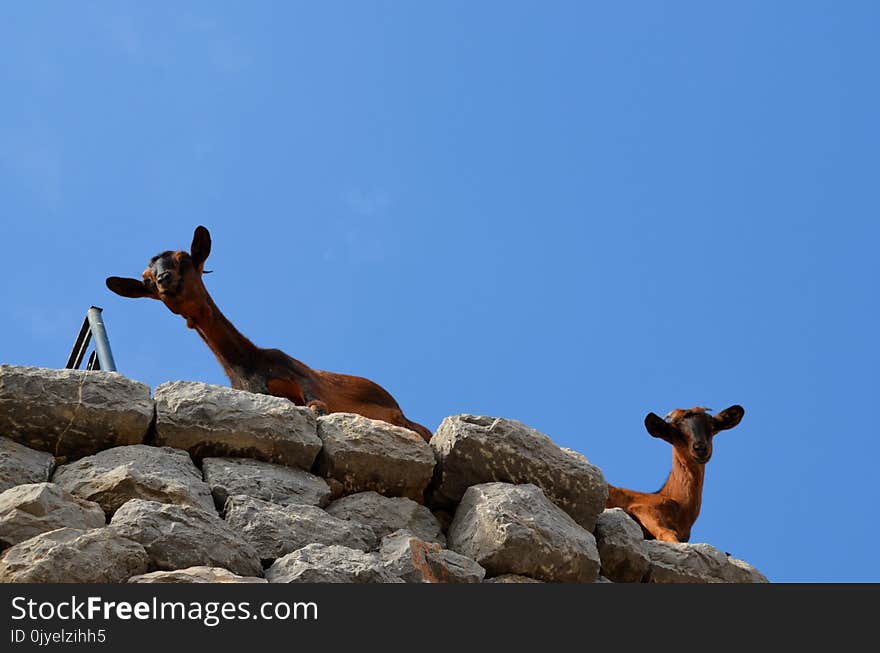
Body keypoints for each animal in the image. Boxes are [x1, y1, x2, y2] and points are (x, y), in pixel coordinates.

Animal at [108, 224, 432, 444]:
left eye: (184, 260)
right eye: (147, 281)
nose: (164, 279)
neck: (248, 363)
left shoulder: (303, 379)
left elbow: (317, 405)